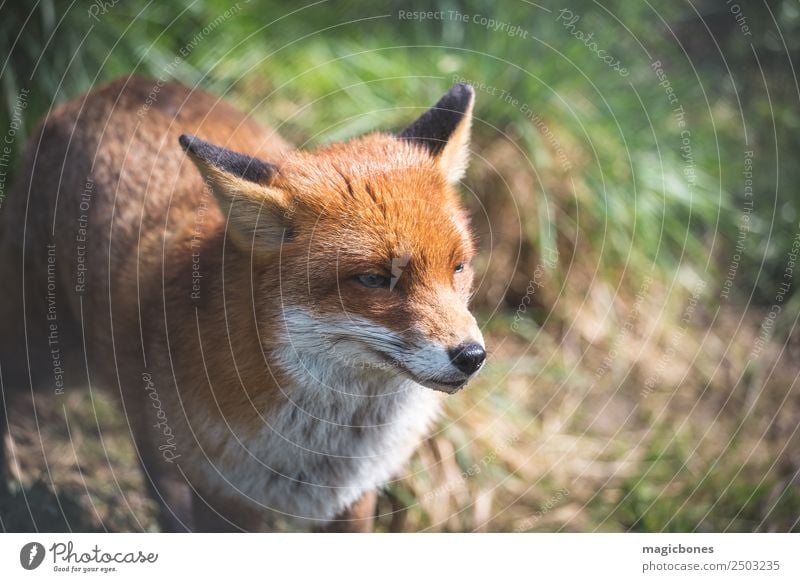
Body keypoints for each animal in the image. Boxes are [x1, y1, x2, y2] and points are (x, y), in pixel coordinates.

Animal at [0, 77, 484, 532]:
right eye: (374, 279)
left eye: (458, 267)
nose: (472, 356)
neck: (324, 450)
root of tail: (112, 87)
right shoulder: (225, 497)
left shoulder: (352, 500)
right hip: (42, 355)